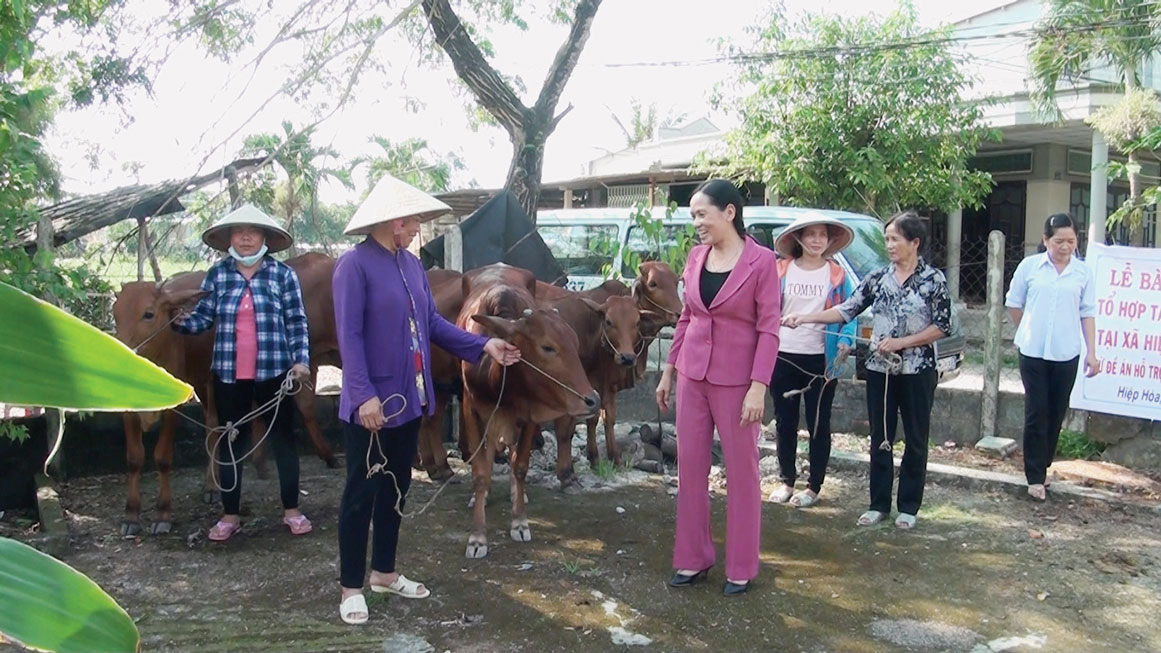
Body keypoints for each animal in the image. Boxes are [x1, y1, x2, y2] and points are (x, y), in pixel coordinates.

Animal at [455, 261, 594, 557]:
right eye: (547, 347)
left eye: (575, 344)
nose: (592, 400)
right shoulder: (471, 410)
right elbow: (480, 472)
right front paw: (477, 537)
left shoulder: (531, 415)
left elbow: (520, 466)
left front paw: (519, 521)